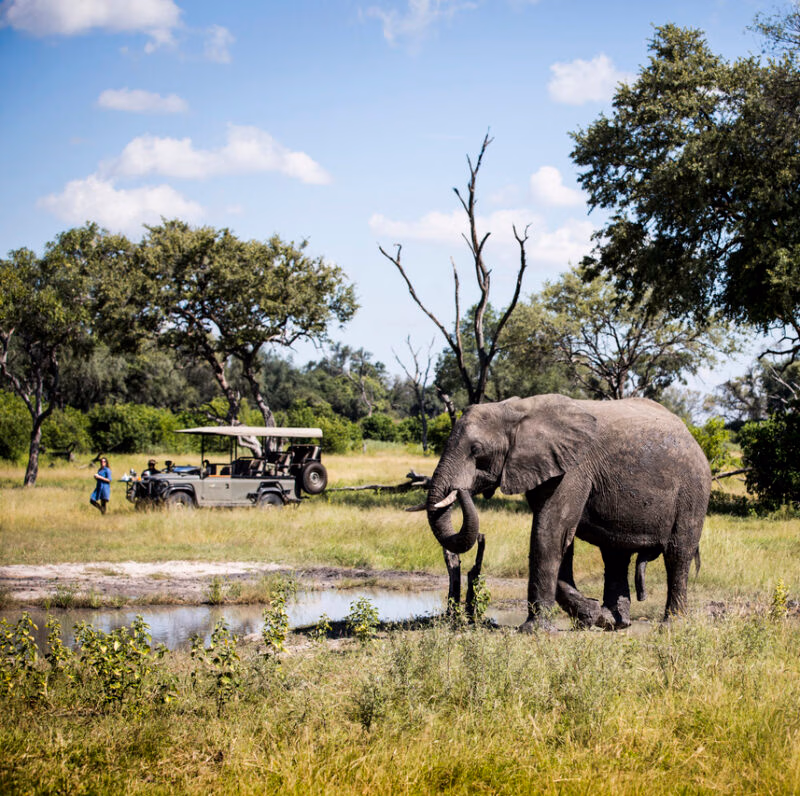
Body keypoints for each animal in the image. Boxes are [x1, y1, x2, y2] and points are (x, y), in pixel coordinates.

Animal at [425, 395, 711, 631]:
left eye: (476, 450)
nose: (461, 491)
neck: (516, 410)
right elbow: (561, 540)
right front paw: (593, 615)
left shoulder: (574, 469)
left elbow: (549, 533)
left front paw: (534, 631)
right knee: (615, 554)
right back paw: (616, 623)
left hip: (693, 492)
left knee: (677, 555)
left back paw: (671, 627)